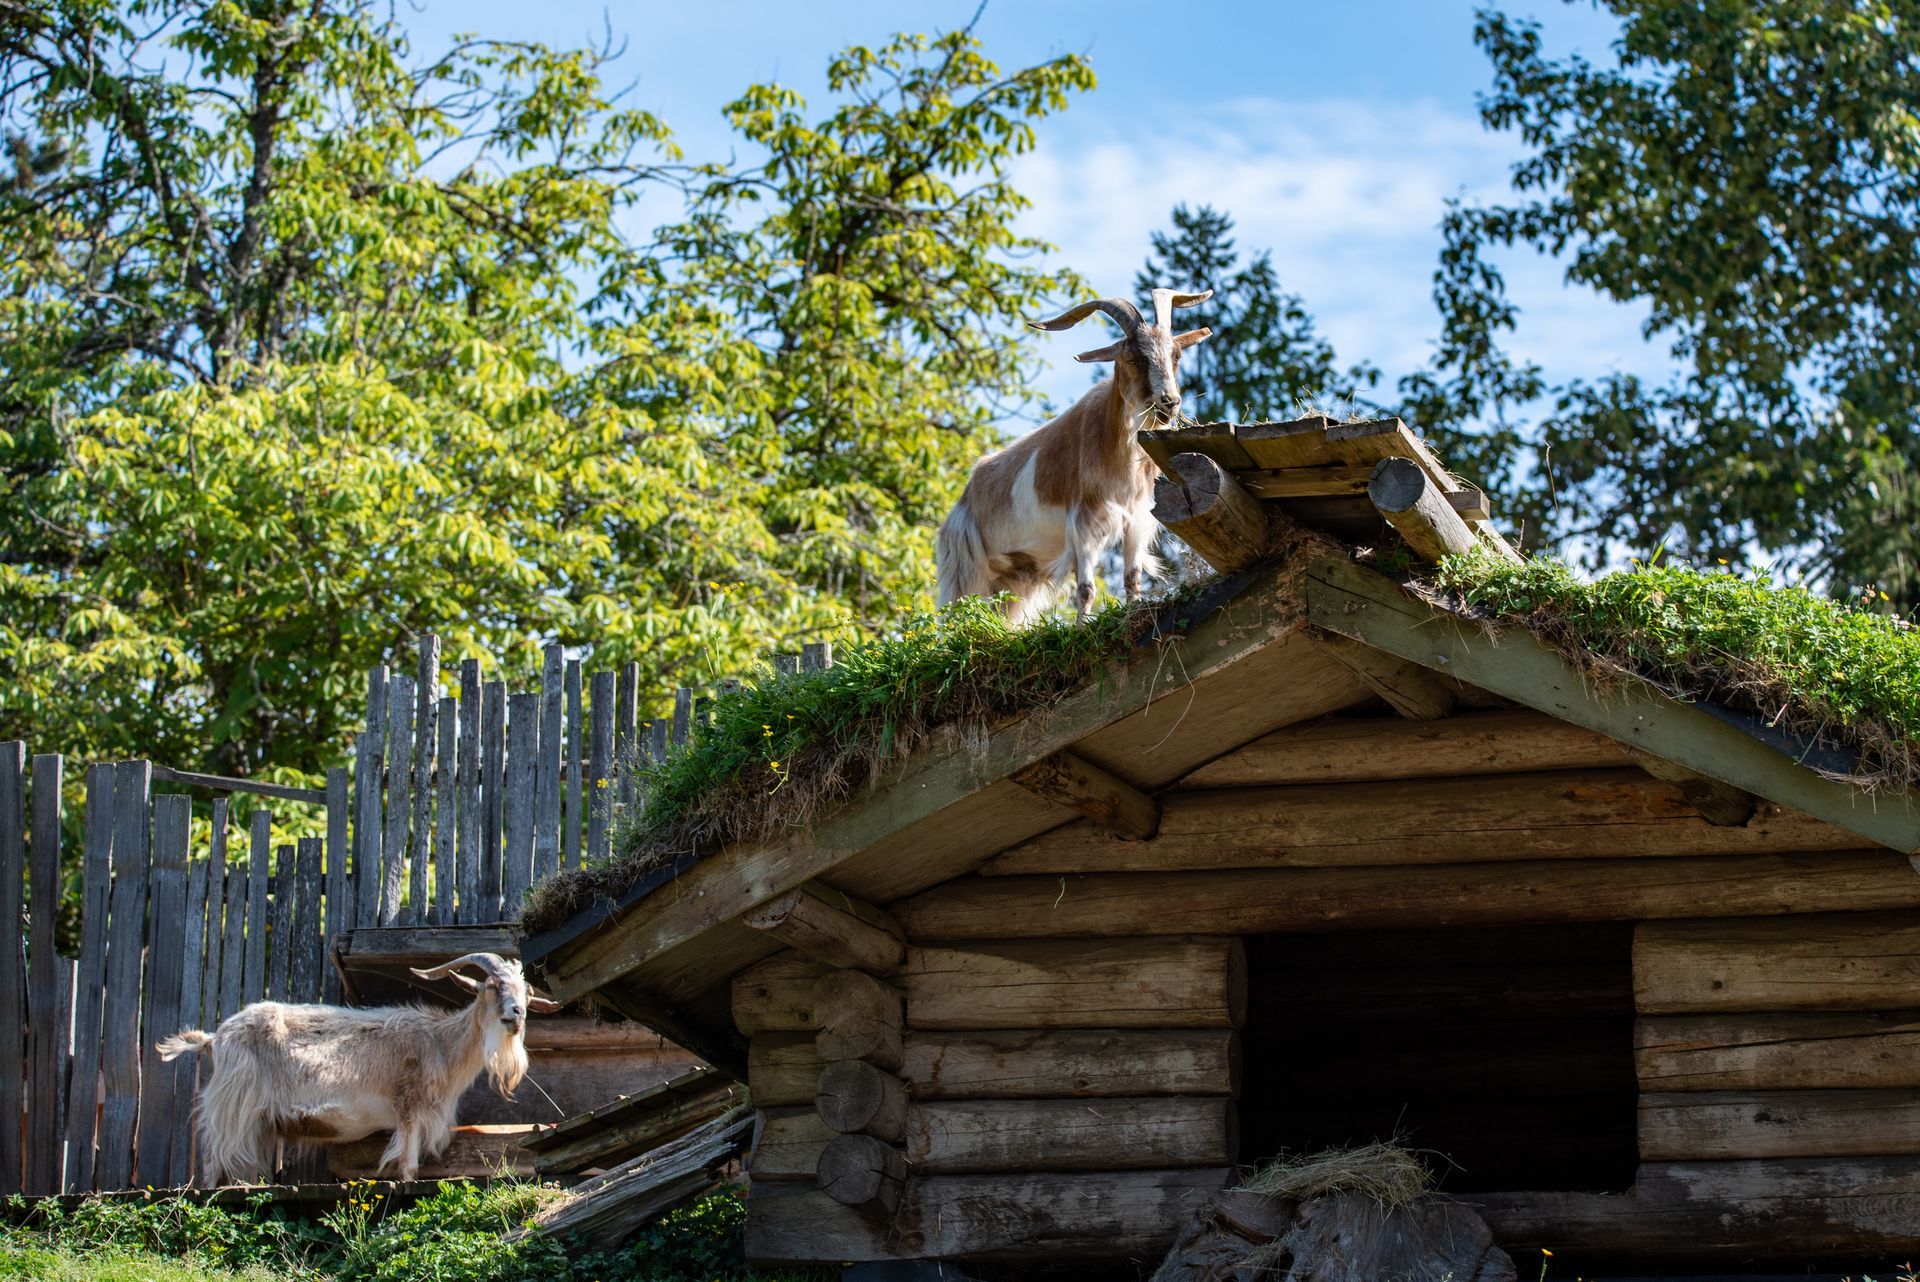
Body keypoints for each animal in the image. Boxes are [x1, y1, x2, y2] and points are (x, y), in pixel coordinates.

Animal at [156, 952, 559, 1184]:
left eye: (525, 992)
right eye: (491, 984)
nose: (516, 1014)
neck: (441, 1044)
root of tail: (215, 1037)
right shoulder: (408, 1107)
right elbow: (408, 1166)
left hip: (260, 1122)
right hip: (233, 1106)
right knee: (212, 1162)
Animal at [936, 287, 1213, 624]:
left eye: (1176, 355)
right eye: (1133, 358)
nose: (1169, 403)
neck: (1118, 456)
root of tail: (965, 497)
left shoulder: (1136, 518)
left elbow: (1132, 577)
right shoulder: (1084, 523)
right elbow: (1086, 588)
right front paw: (1083, 626)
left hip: (1016, 580)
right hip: (967, 568)